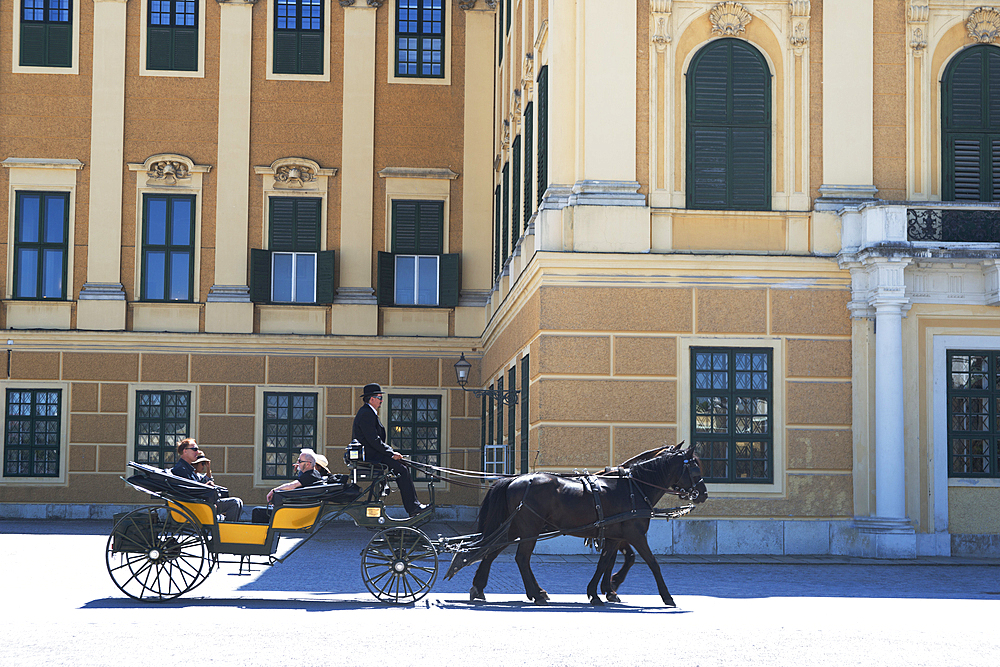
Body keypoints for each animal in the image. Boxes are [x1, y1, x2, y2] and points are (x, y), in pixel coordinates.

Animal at [450, 446, 708, 608]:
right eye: (695, 468)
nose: (703, 494)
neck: (633, 487)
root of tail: (515, 479)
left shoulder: (614, 537)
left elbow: (605, 562)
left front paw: (598, 591)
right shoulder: (635, 534)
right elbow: (653, 563)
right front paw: (667, 596)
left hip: (515, 528)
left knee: (491, 552)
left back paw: (482, 587)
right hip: (529, 528)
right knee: (521, 558)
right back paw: (535, 593)